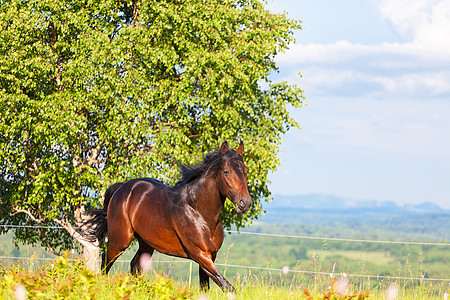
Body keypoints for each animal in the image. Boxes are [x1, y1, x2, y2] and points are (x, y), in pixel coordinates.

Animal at [80, 141, 250, 292]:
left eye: (246, 170)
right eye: (226, 171)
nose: (246, 203)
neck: (199, 212)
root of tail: (121, 187)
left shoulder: (211, 255)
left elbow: (207, 286)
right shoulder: (200, 254)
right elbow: (227, 286)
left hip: (146, 244)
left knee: (134, 264)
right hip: (120, 241)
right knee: (106, 261)